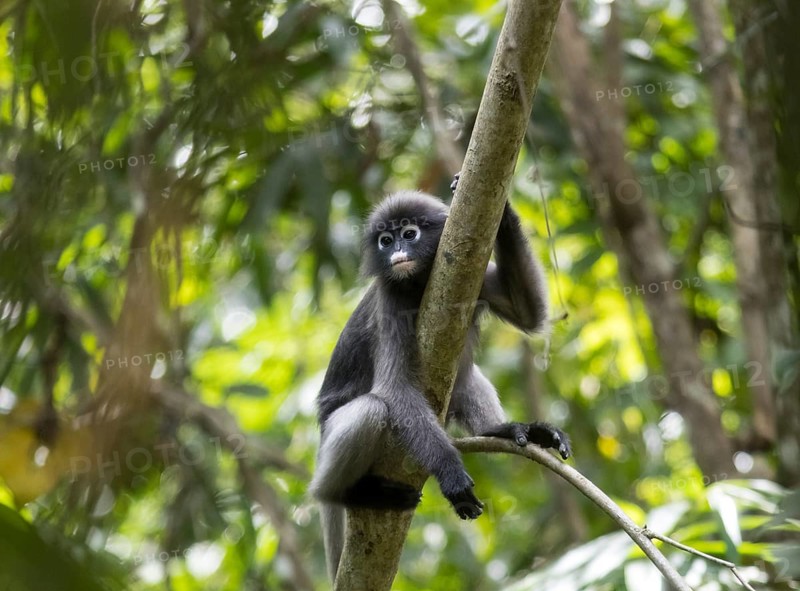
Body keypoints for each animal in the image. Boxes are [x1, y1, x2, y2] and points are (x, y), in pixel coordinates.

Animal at [309, 187, 571, 581]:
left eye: (409, 234)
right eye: (385, 241)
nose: (397, 254)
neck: (418, 284)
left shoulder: (478, 280)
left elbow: (530, 315)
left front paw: (504, 210)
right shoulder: (390, 300)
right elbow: (396, 390)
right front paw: (451, 476)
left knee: (469, 376)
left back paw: (503, 431)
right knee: (371, 410)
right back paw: (346, 494)